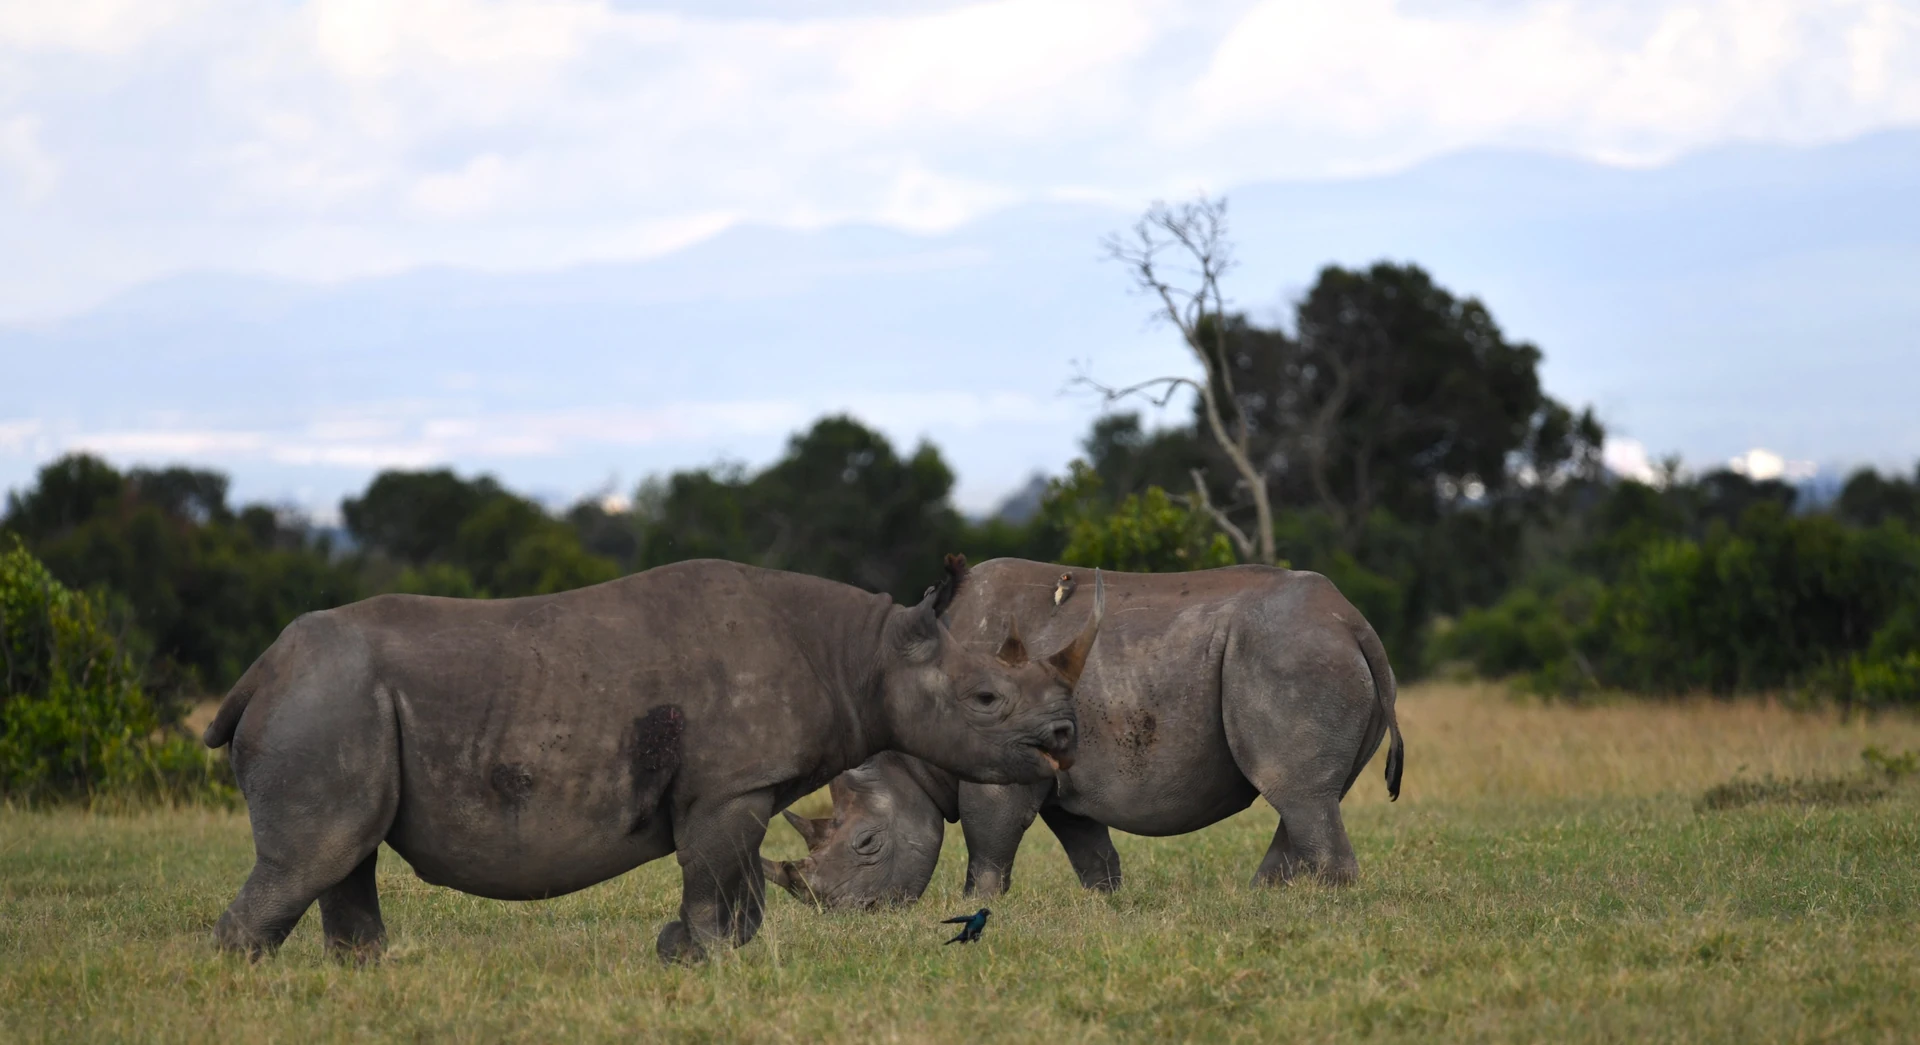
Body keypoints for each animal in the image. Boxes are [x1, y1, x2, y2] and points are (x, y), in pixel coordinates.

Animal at [200, 557, 1102, 963]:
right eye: (987, 699)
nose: (1065, 736)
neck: (867, 654)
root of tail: (258, 672)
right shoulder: (728, 786)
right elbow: (712, 874)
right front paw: (696, 956)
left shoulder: (743, 787)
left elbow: (738, 881)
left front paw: (709, 951)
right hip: (326, 698)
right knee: (315, 854)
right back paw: (247, 978)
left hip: (334, 699)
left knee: (343, 853)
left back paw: (363, 973)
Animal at [763, 559, 1403, 908]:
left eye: (868, 843)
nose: (846, 915)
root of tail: (1353, 620)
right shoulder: (1056, 776)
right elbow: (1090, 851)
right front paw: (1107, 907)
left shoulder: (999, 769)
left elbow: (989, 839)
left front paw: (974, 909)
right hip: (1313, 650)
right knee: (1307, 797)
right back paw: (1265, 898)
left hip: (1290, 654)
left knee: (1295, 790)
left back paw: (1319, 902)